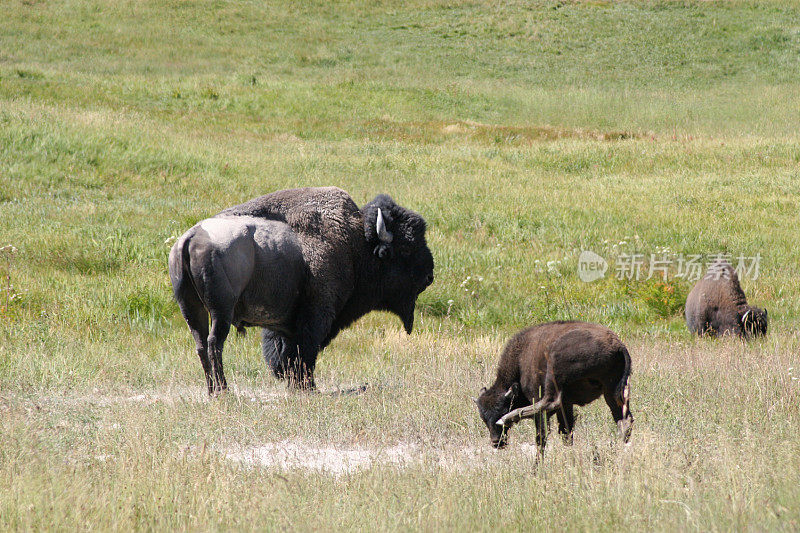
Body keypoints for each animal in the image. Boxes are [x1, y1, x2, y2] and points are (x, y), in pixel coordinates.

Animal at [167, 185, 432, 392]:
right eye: (406, 248)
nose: (429, 275)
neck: (355, 244)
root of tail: (191, 237)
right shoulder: (316, 314)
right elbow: (304, 350)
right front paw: (308, 387)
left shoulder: (284, 323)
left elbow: (284, 353)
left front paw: (292, 382)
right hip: (221, 310)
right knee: (214, 343)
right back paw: (224, 390)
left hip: (191, 308)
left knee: (201, 344)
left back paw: (212, 390)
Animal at [472, 320, 636, 448]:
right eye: (483, 417)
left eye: (502, 409)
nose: (496, 442)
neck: (520, 360)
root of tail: (619, 346)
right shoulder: (567, 405)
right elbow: (566, 431)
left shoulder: (538, 398)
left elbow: (541, 437)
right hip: (612, 389)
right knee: (623, 419)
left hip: (555, 367)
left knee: (550, 402)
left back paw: (512, 416)